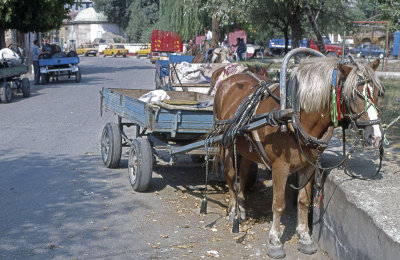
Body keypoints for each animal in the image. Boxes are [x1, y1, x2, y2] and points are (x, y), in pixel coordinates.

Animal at [214, 56, 382, 258]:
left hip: (245, 149)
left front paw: (304, 237)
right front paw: (275, 241)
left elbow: (303, 201)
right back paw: (233, 210)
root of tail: (228, 80)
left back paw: (241, 206)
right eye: (352, 95)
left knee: (243, 175)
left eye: (378, 93)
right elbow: (278, 204)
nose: (375, 137)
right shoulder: (279, 167)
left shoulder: (308, 166)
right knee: (231, 176)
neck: (293, 116)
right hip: (226, 144)